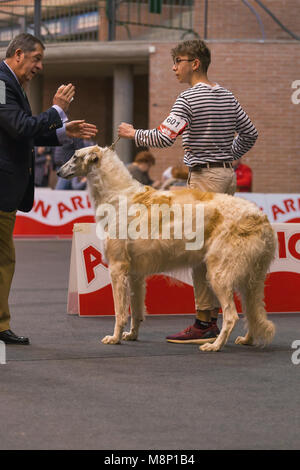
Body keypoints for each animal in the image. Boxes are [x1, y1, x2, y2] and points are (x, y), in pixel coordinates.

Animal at [58, 145, 276, 350]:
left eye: (75, 156)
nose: (59, 171)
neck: (118, 195)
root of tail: (260, 217)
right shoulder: (135, 274)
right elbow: (136, 311)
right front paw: (131, 335)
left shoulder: (117, 268)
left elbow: (120, 312)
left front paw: (115, 338)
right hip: (251, 279)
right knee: (251, 313)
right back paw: (247, 339)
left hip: (219, 274)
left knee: (232, 316)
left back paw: (214, 345)